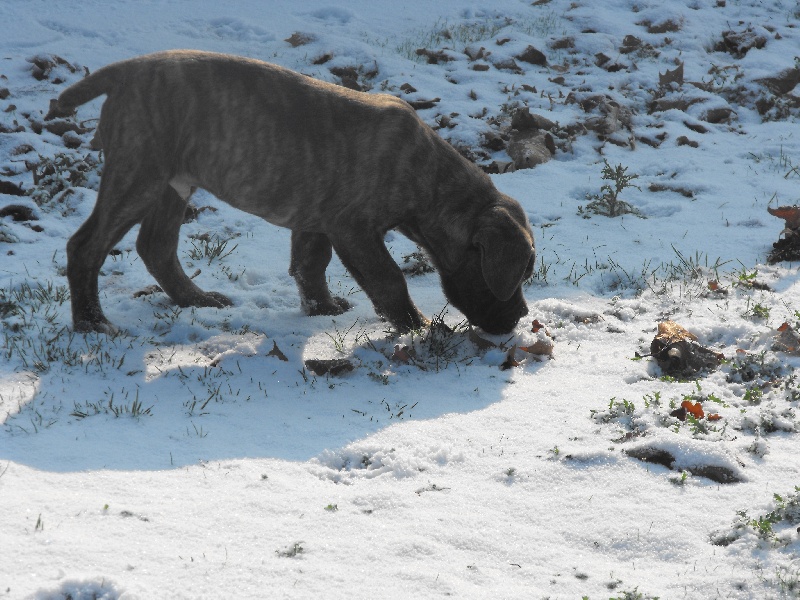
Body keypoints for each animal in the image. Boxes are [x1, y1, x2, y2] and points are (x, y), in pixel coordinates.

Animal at [42, 49, 532, 336]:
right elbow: (389, 279)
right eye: (519, 276)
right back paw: (92, 323)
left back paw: (196, 300)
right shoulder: (354, 228)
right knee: (86, 246)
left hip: (171, 183)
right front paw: (419, 326)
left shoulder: (316, 219)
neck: (428, 178)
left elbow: (309, 266)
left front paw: (322, 308)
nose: (523, 317)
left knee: (155, 246)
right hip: (138, 178)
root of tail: (124, 71)